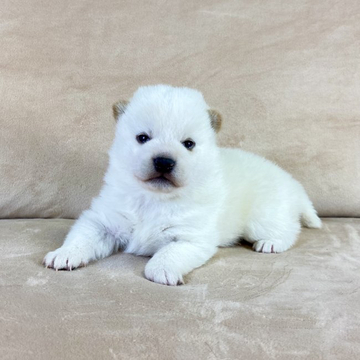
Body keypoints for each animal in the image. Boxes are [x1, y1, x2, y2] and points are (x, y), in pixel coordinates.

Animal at [43, 84, 322, 284]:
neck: (154, 199)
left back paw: (271, 243)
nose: (164, 161)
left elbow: (168, 253)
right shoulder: (104, 220)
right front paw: (64, 254)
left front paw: (162, 271)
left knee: (289, 229)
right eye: (142, 138)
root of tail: (292, 183)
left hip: (263, 217)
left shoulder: (191, 238)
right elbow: (82, 236)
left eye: (188, 144)